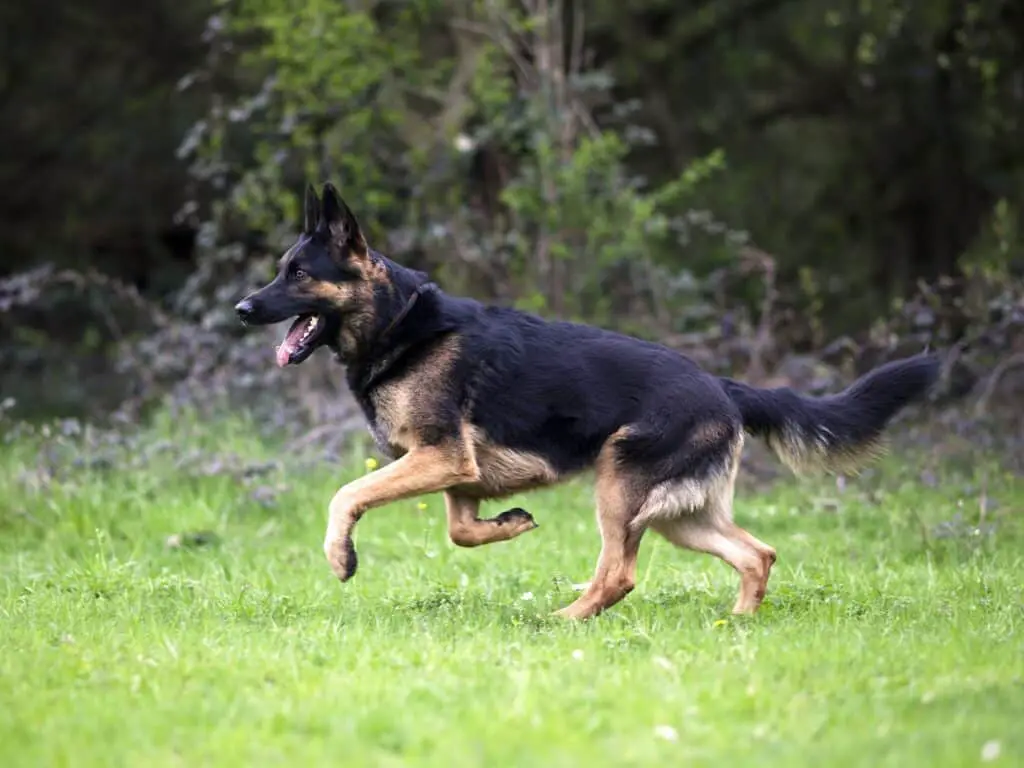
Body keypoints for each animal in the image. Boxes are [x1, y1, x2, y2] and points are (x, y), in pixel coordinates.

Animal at [235, 183, 937, 622]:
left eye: (299, 274)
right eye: (280, 269)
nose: (242, 308)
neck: (398, 325)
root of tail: (722, 385)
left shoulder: (439, 458)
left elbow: (347, 495)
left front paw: (341, 557)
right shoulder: (457, 470)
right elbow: (461, 531)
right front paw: (510, 524)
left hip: (619, 490)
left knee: (620, 574)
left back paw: (564, 618)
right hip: (680, 516)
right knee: (755, 553)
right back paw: (737, 624)